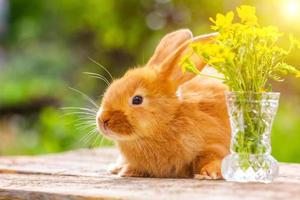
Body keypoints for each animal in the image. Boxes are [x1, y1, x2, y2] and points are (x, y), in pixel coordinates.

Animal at [96, 29, 230, 180]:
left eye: (137, 100)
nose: (102, 120)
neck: (168, 122)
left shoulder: (215, 144)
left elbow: (212, 158)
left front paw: (209, 173)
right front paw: (126, 170)